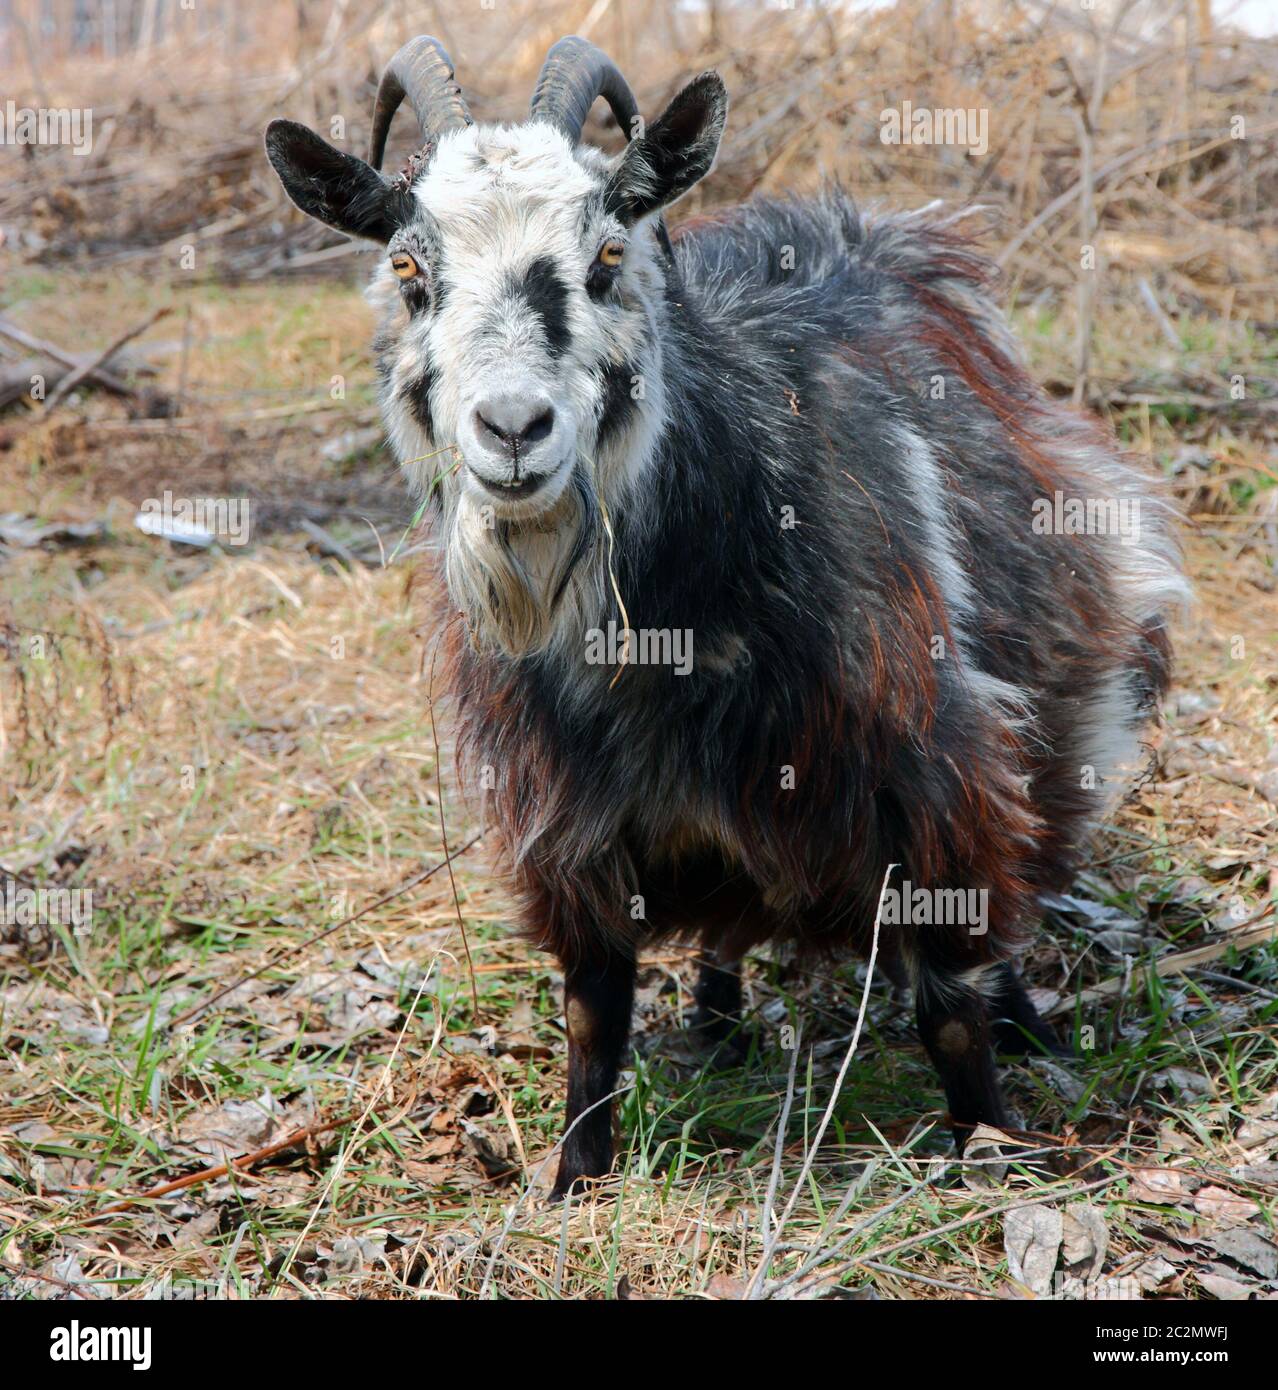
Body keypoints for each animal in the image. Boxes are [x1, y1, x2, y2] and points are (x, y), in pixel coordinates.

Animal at [264, 38, 1195, 1200]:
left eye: (608, 255)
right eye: (408, 272)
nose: (513, 430)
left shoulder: (926, 769)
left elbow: (946, 1003)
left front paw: (992, 1141)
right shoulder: (566, 814)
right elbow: (592, 1012)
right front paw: (574, 1178)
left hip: (1066, 681)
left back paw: (1023, 1015)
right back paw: (716, 1015)